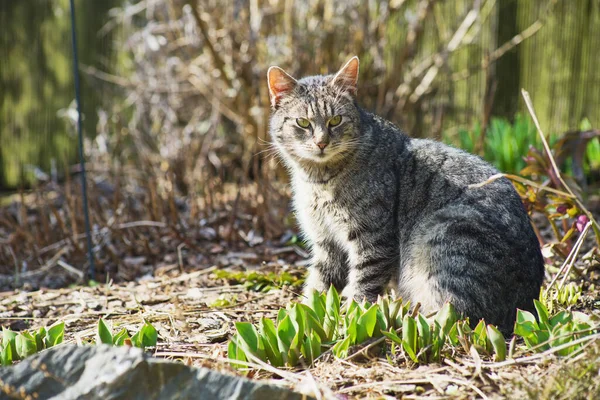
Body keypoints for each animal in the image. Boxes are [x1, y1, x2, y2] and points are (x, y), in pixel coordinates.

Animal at [268, 56, 544, 334]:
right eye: (303, 123)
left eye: (335, 120)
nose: (321, 143)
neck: (318, 179)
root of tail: (527, 304)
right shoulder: (326, 242)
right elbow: (318, 285)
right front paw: (305, 314)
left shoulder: (373, 239)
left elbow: (362, 284)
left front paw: (351, 318)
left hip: (447, 234)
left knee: (456, 317)